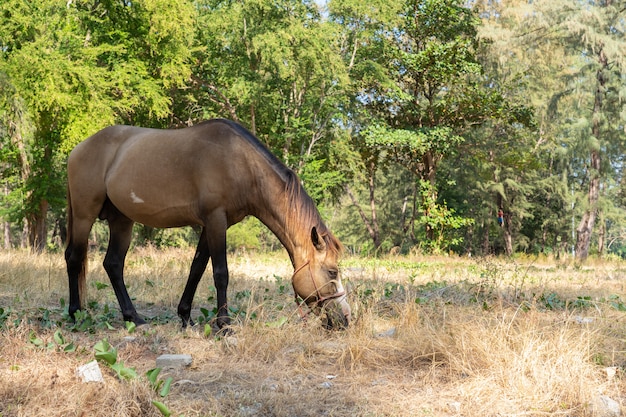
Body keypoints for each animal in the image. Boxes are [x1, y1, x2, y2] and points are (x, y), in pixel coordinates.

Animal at [65, 118, 348, 330]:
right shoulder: (215, 220)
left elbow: (197, 269)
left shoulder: (212, 224)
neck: (239, 163)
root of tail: (78, 149)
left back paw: (132, 316)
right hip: (84, 215)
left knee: (113, 264)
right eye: (332, 272)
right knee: (74, 258)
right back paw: (75, 314)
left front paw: (185, 316)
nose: (345, 319)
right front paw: (224, 324)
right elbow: (221, 273)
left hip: (122, 220)